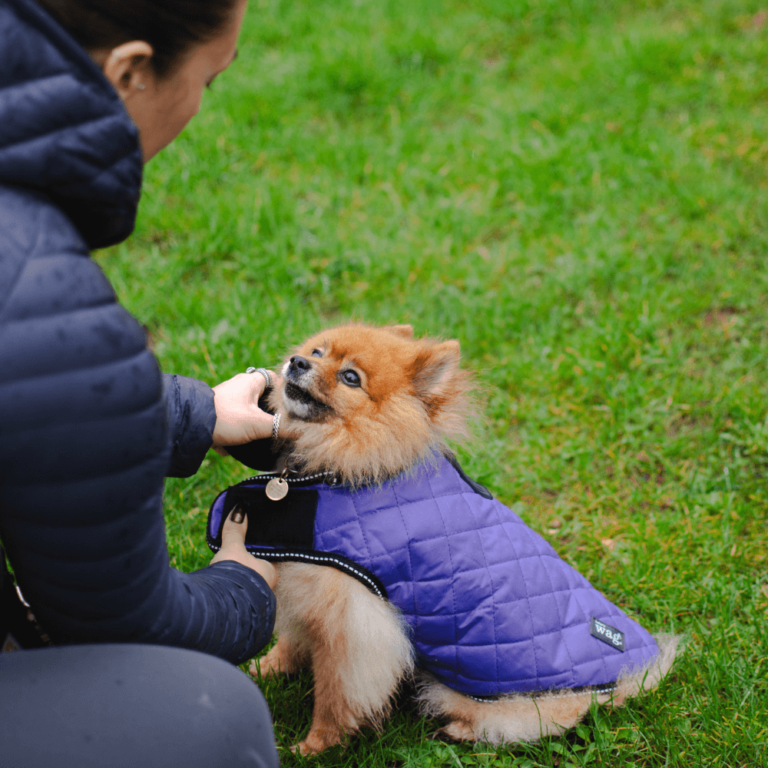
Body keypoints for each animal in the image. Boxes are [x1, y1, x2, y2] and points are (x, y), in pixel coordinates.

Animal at [208, 324, 680, 756]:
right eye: (317, 351)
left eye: (350, 377)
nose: (298, 362)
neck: (343, 463)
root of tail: (634, 674)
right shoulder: (305, 585)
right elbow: (291, 639)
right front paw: (266, 668)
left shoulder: (355, 625)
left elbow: (336, 693)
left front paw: (314, 745)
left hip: (498, 695)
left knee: (542, 720)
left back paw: (461, 730)